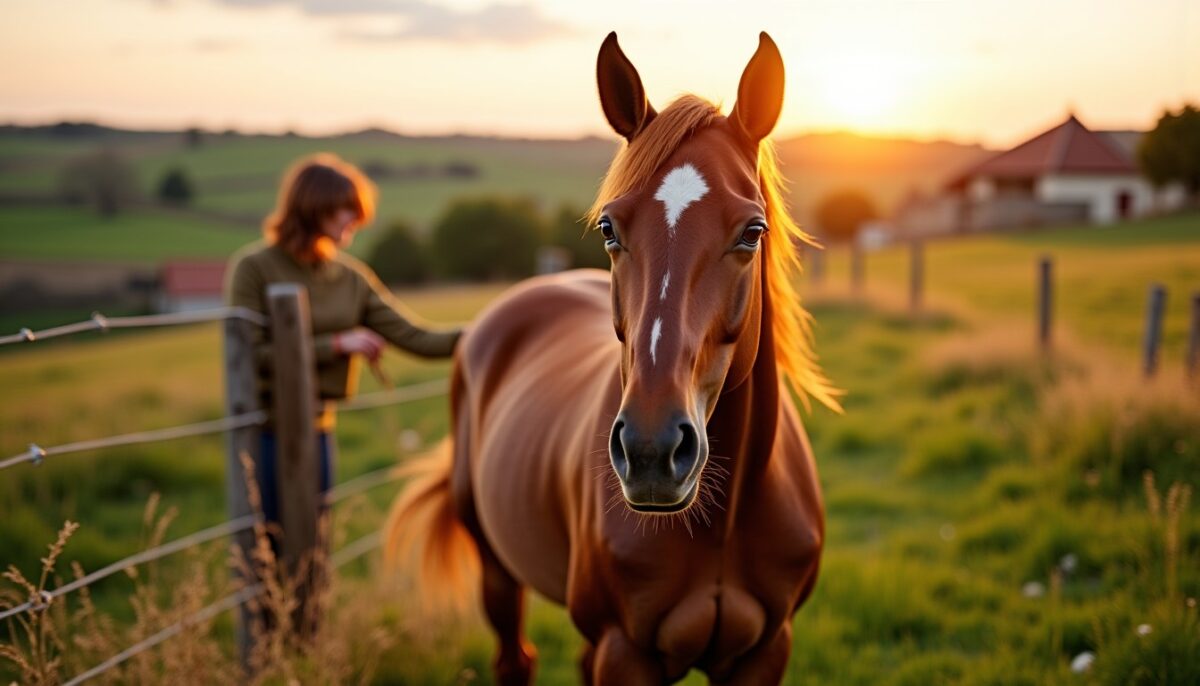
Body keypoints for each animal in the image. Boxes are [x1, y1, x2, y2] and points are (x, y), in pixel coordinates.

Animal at [385, 31, 840, 685]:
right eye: (608, 228)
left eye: (752, 231)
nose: (651, 451)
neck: (721, 523)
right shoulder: (625, 652)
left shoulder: (765, 651)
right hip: (497, 569)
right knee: (513, 657)